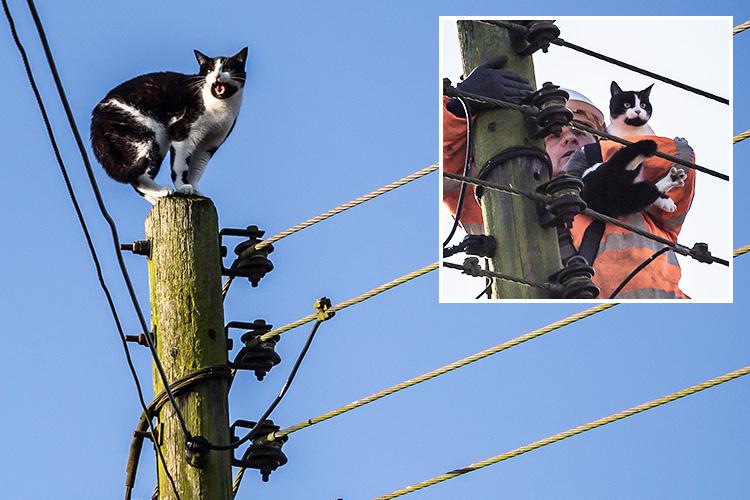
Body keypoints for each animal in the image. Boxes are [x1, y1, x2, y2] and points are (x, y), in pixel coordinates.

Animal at [91, 46, 248, 203]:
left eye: (228, 68)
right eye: (209, 70)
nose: (217, 76)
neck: (219, 106)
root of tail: (96, 117)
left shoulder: (209, 144)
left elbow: (196, 168)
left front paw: (195, 190)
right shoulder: (182, 131)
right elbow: (181, 166)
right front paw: (183, 187)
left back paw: (156, 198)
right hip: (146, 136)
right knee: (138, 176)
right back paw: (162, 191)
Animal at [580, 81, 688, 216]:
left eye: (643, 105)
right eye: (626, 105)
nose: (637, 110)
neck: (633, 132)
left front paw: (665, 202)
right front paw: (665, 202)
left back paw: (672, 177)